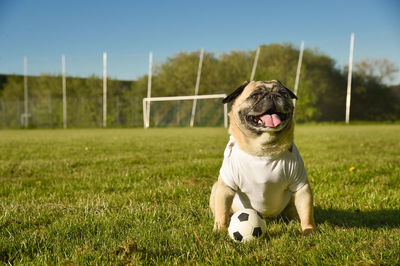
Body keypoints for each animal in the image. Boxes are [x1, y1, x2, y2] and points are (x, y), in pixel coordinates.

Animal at [209, 79, 316, 235]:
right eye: (255, 95)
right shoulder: (225, 187)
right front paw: (220, 229)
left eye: (283, 94)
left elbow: (306, 212)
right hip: (216, 189)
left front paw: (308, 229)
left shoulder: (301, 186)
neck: (263, 150)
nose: (273, 95)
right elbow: (221, 211)